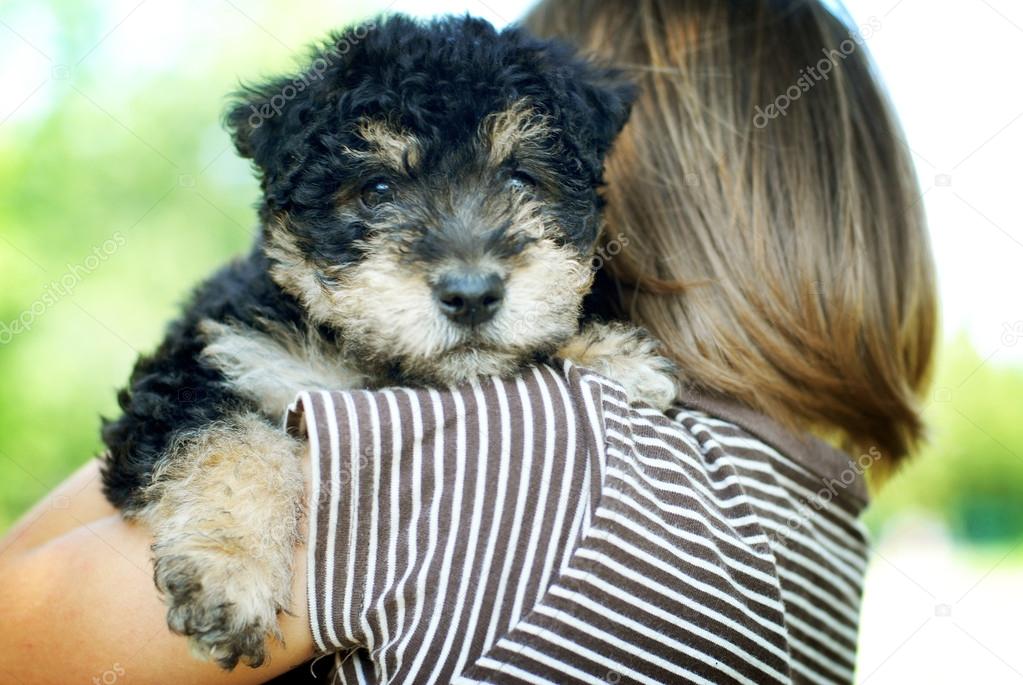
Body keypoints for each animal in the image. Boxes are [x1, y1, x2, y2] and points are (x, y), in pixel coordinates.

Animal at [99, 14, 679, 670]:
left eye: (520, 177)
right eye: (376, 188)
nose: (472, 294)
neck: (371, 362)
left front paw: (608, 353)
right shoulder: (203, 362)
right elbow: (231, 440)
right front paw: (229, 571)